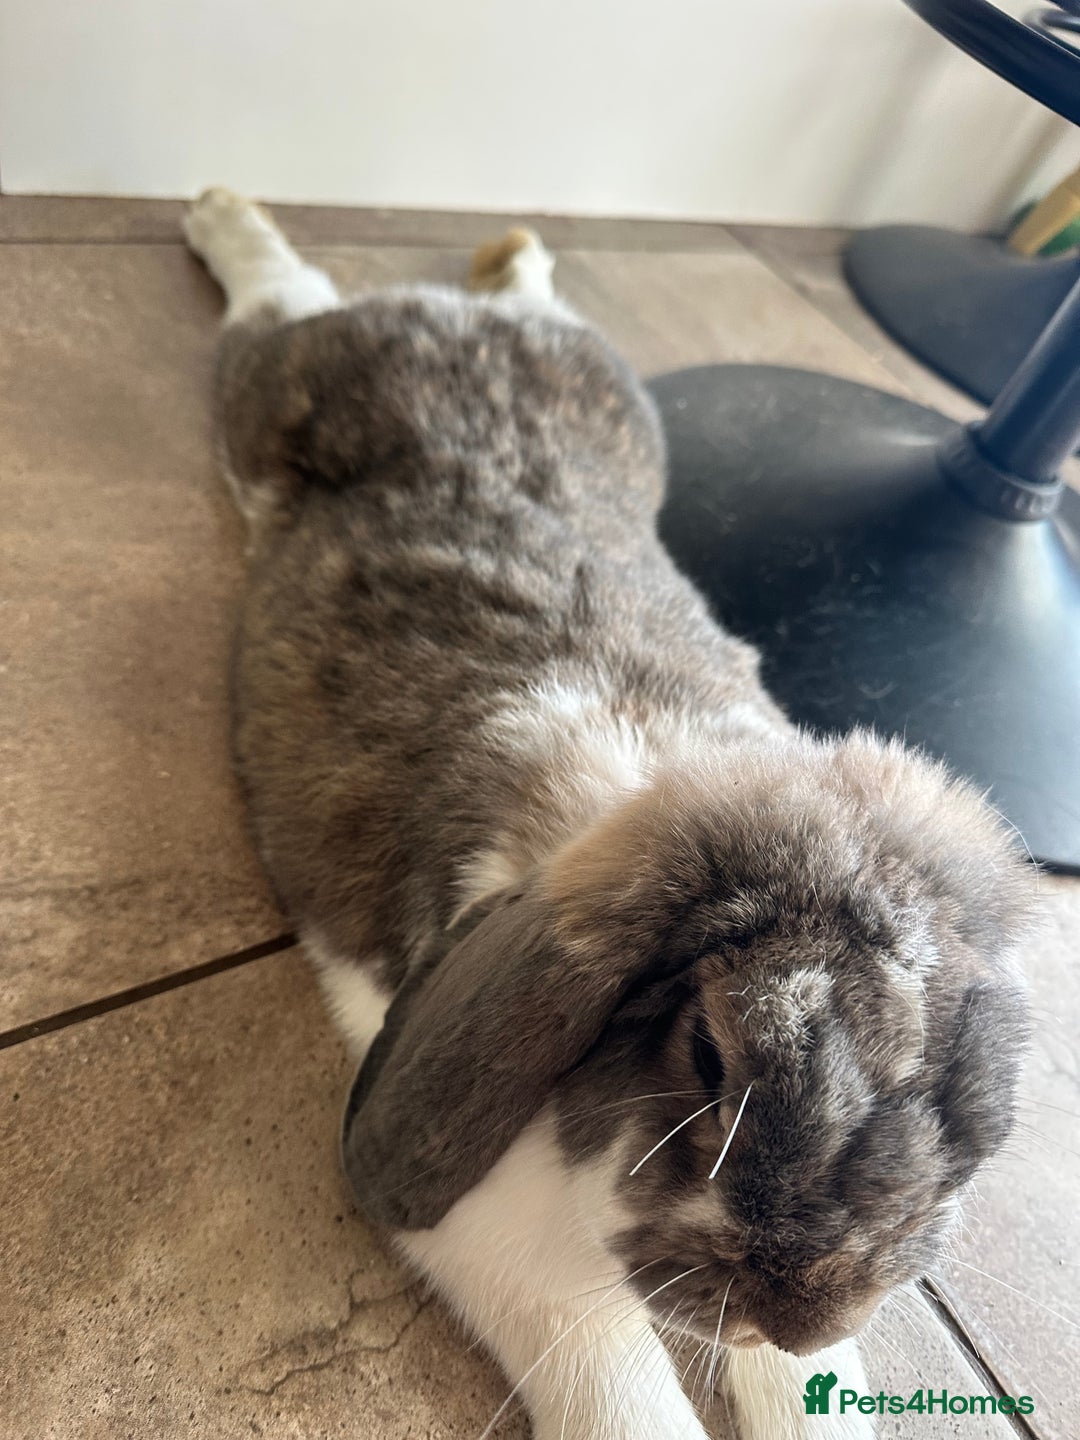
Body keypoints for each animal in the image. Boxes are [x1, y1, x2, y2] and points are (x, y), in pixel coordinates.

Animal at [184, 188, 1036, 1440]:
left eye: (960, 1133)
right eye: (706, 1055)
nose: (792, 1321)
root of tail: (460, 326)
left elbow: (808, 1404)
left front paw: (802, 1381)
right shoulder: (511, 1233)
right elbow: (623, 1387)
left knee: (503, 291)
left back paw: (515, 250)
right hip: (270, 390)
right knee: (278, 291)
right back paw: (228, 212)